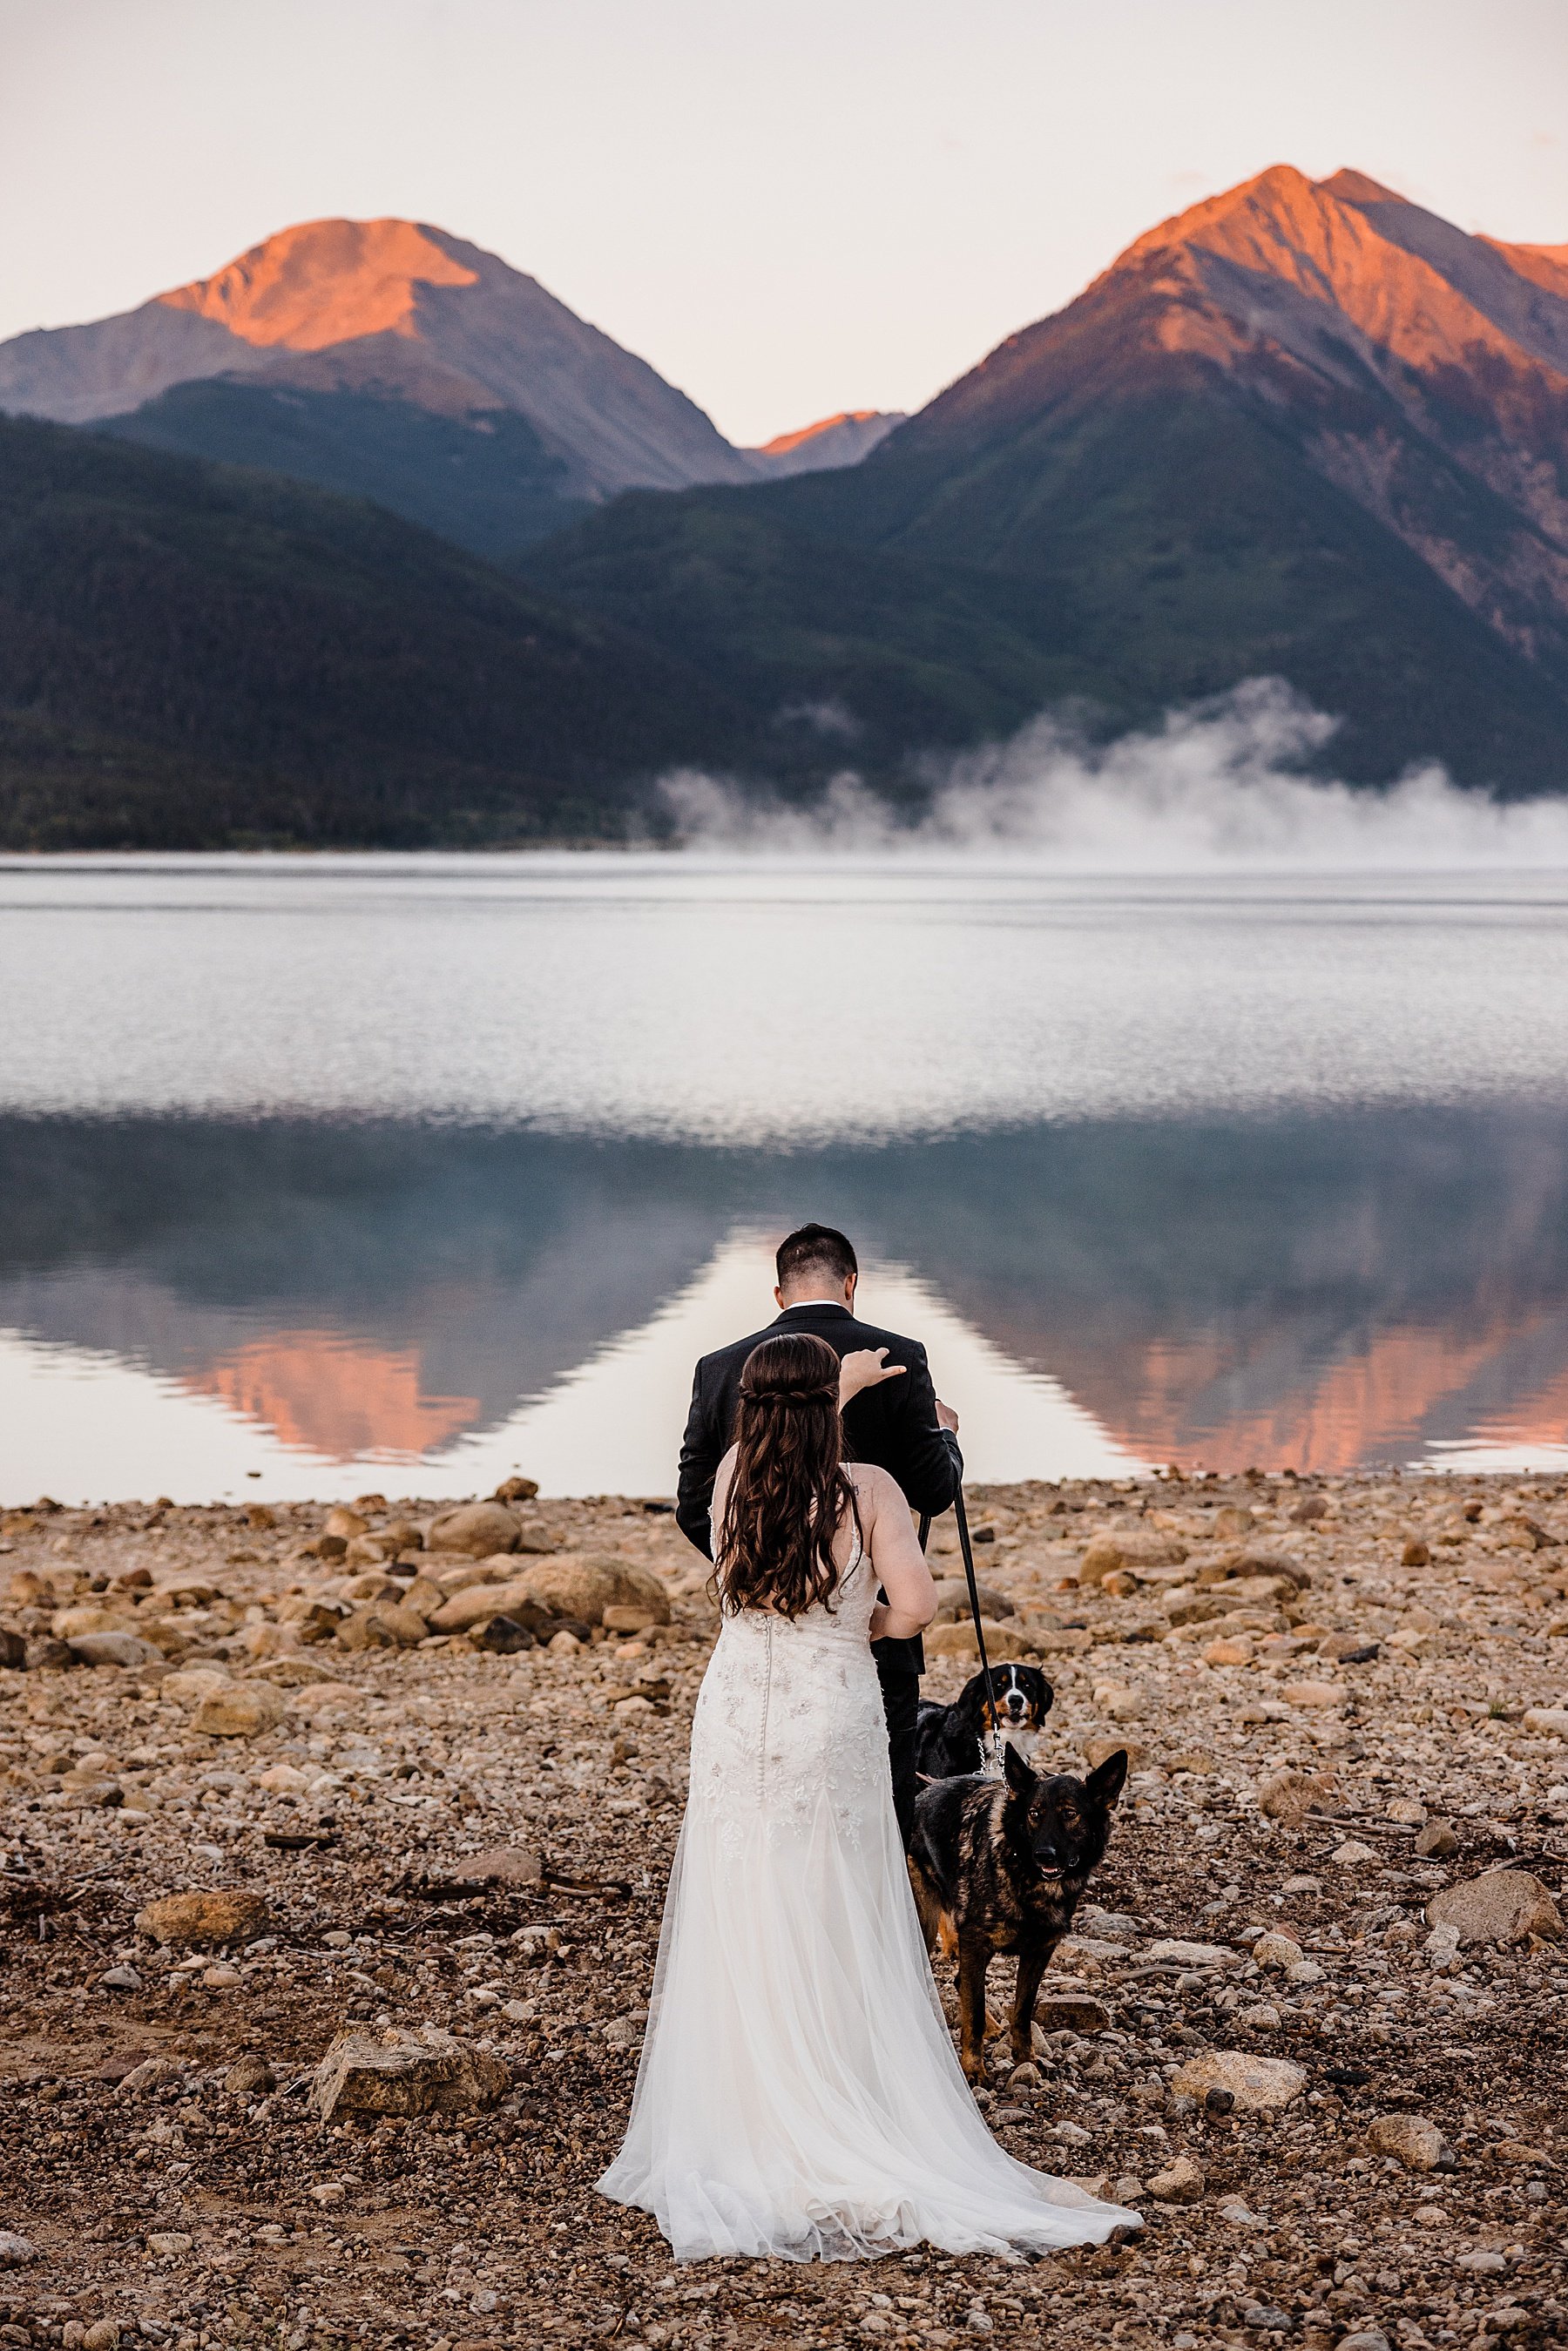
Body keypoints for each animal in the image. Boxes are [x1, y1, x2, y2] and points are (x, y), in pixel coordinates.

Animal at [907, 1749, 1128, 2077]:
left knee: (961, 1981)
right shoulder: (976, 1944)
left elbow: (1022, 2012)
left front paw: (1026, 2060)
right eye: (1034, 1814)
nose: (1044, 1856)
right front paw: (973, 2068)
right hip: (924, 1922)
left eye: (1070, 1814)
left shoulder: (1039, 1952)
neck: (1024, 1875)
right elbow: (973, 2014)